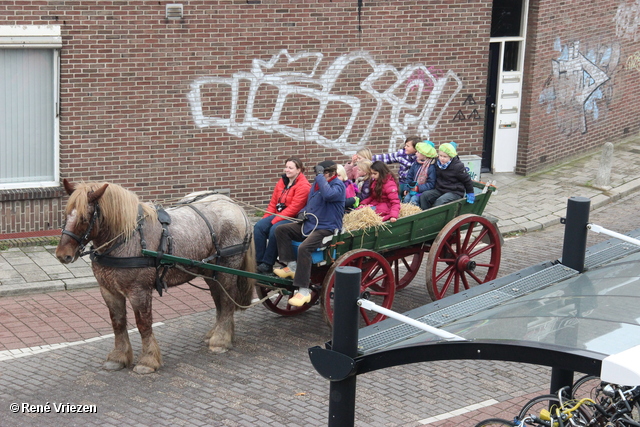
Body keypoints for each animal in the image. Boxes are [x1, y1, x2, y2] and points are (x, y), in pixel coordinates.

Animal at [55, 181, 255, 374]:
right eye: (65, 215)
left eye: (84, 218)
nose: (62, 255)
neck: (128, 238)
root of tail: (234, 205)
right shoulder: (109, 291)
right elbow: (118, 323)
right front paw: (118, 358)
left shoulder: (139, 291)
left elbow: (144, 325)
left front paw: (148, 361)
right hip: (209, 271)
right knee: (219, 300)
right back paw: (218, 334)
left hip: (227, 270)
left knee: (227, 302)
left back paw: (220, 340)